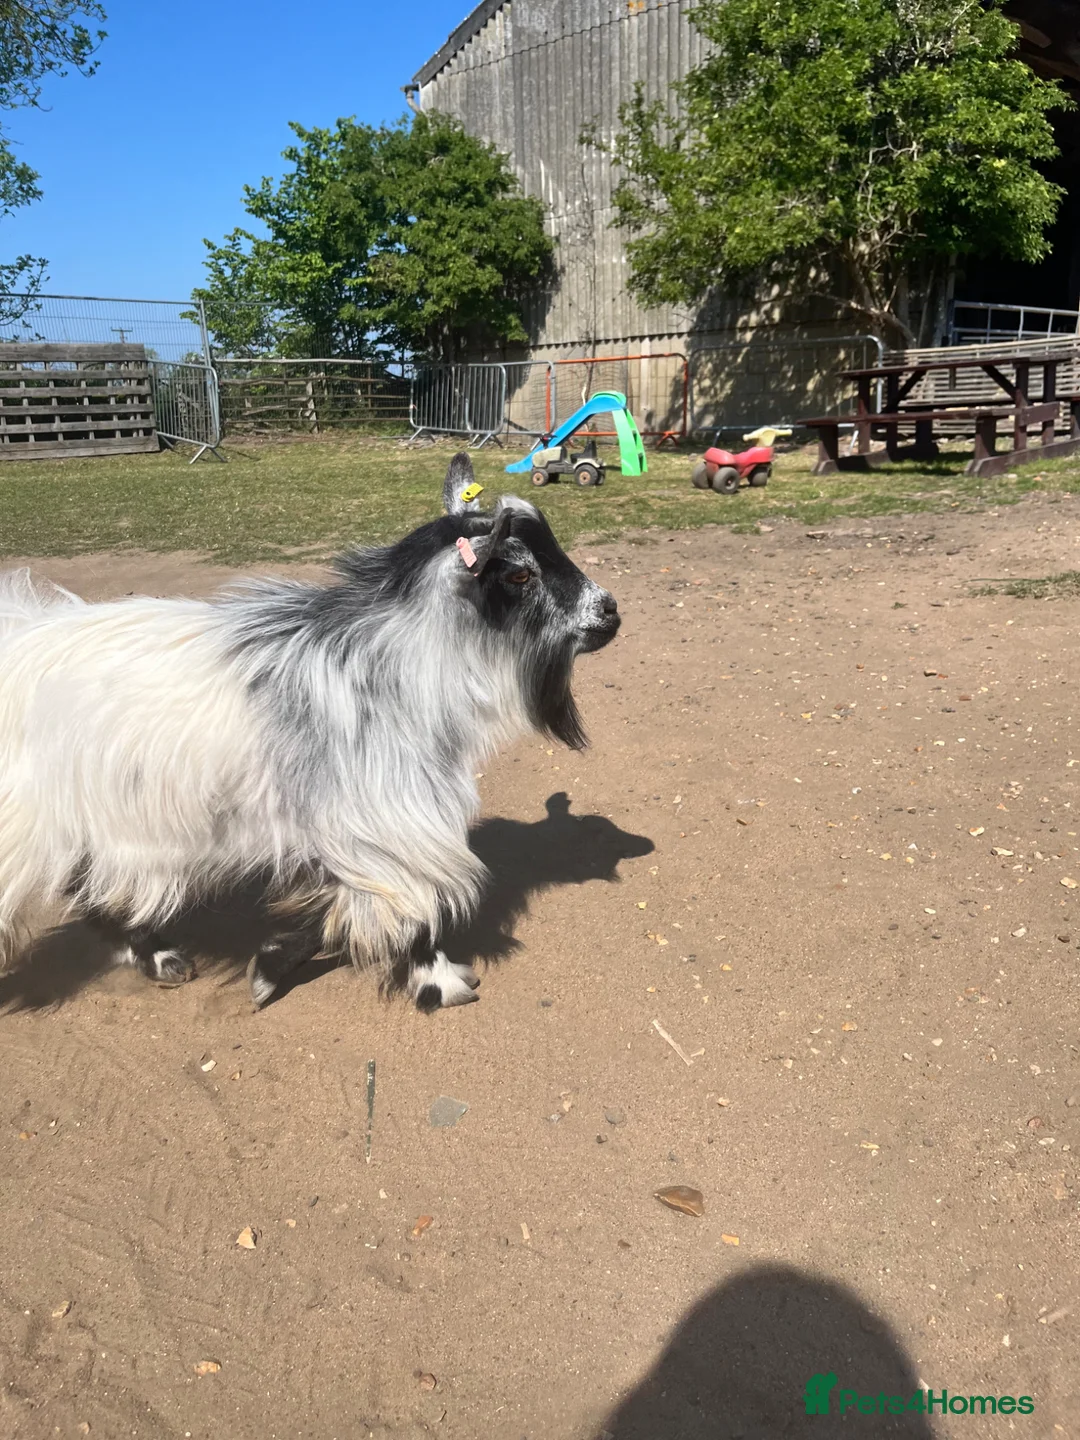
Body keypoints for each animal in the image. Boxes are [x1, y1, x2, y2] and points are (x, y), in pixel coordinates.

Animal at [0, 454, 620, 1011]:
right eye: (519, 572)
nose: (610, 612)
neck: (394, 671)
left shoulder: (348, 820)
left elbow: (348, 905)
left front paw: (269, 966)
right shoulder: (382, 816)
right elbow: (410, 903)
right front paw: (439, 982)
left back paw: (153, 954)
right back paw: (157, 955)